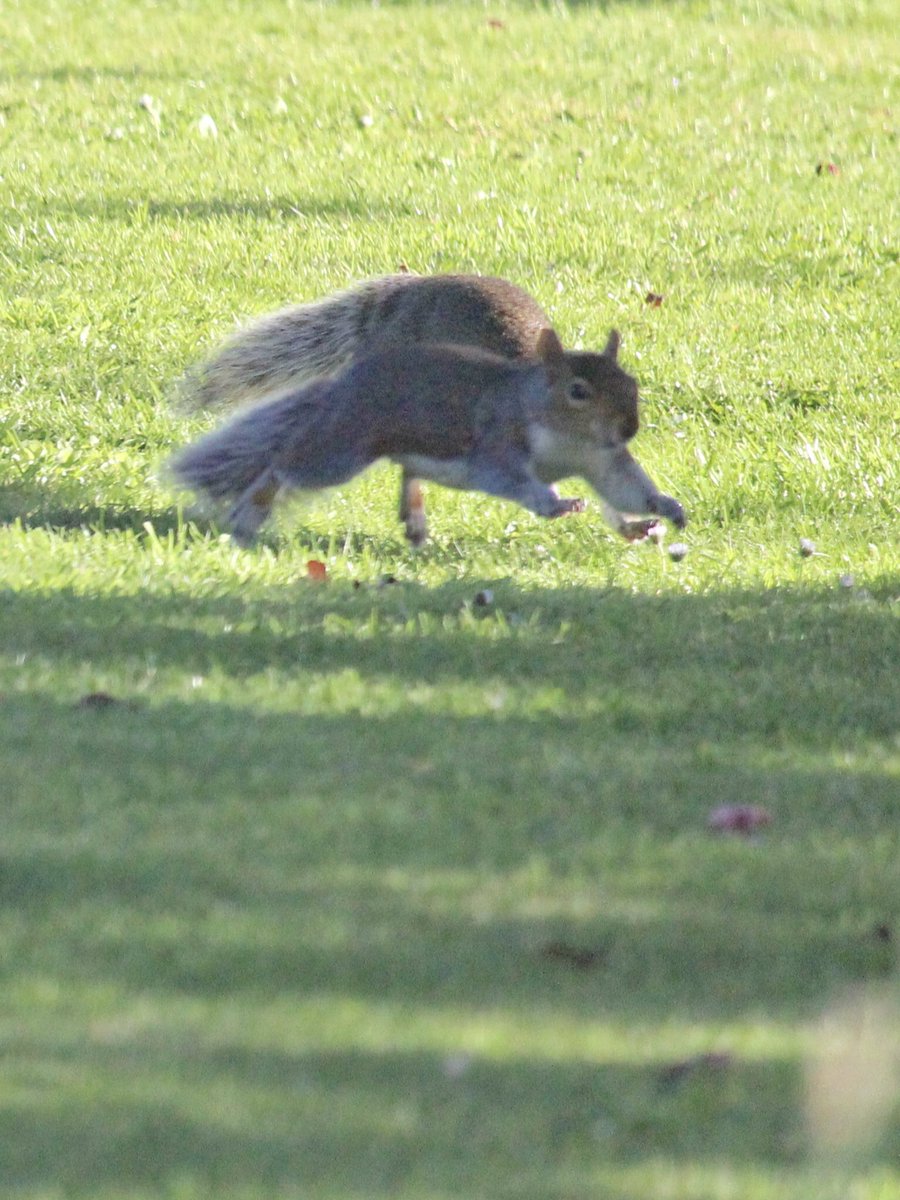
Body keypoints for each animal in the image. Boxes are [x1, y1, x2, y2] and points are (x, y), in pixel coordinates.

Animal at [176, 273, 685, 545]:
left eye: (632, 385)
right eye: (579, 392)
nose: (628, 428)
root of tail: (405, 294)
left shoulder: (597, 458)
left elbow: (613, 490)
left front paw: (637, 522)